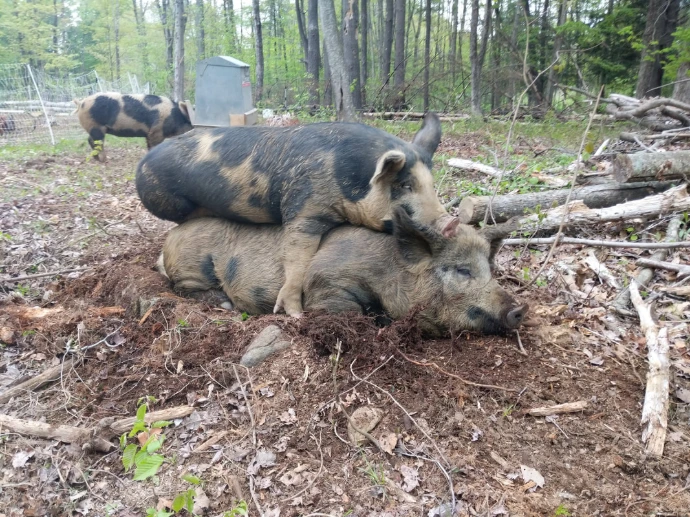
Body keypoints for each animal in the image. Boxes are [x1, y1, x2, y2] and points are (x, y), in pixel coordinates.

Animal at [136, 113, 459, 317]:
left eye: (432, 184)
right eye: (404, 185)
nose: (451, 222)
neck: (349, 179)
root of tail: (142, 162)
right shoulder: (304, 205)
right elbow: (296, 255)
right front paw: (294, 314)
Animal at [157, 208, 528, 336]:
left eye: (489, 269)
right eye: (462, 270)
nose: (520, 309)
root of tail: (169, 240)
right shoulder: (327, 278)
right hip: (193, 265)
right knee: (180, 285)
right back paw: (223, 303)